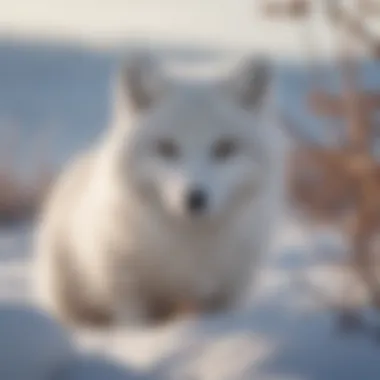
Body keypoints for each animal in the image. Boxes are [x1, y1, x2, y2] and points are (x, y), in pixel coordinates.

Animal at [35, 52, 284, 326]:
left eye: (224, 148)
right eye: (167, 148)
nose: (195, 198)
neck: (189, 246)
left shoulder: (229, 292)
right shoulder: (127, 289)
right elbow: (134, 325)